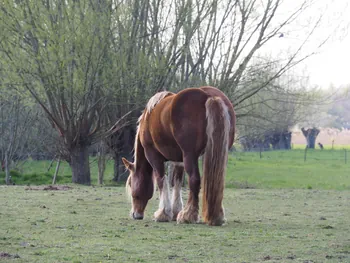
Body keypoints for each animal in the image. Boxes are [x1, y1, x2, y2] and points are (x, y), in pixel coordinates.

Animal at [122, 86, 235, 227]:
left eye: (131, 183)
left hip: (190, 156)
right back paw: (216, 216)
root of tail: (209, 96)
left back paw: (188, 215)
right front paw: (175, 211)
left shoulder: (153, 155)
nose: (135, 214)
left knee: (194, 179)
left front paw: (163, 213)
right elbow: (177, 181)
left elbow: (161, 180)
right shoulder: (178, 159)